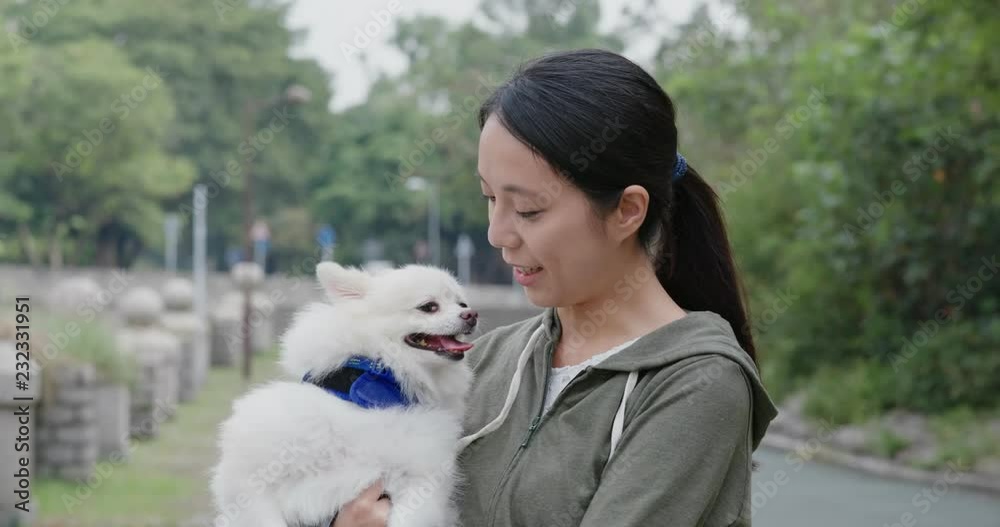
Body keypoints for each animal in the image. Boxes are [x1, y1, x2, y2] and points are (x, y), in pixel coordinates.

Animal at [210, 262, 476, 524]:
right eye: (429, 307)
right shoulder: (249, 477)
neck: (379, 389)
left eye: (461, 303)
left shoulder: (420, 481)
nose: (471, 314)